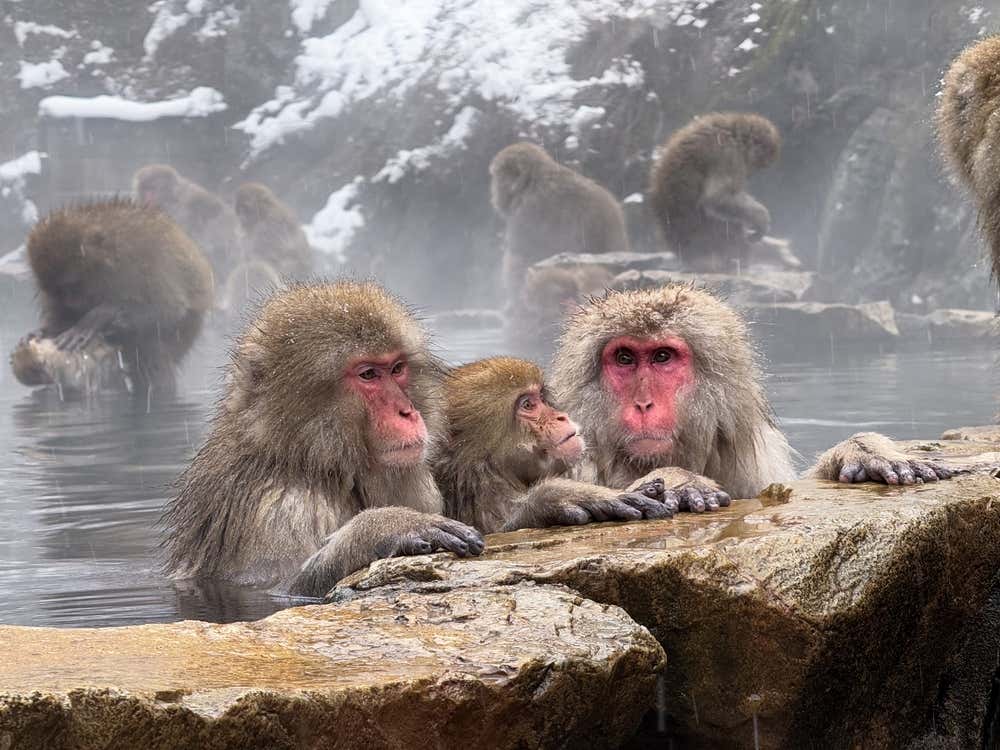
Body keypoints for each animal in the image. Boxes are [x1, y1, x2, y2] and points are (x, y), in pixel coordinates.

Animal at [20, 199, 213, 394]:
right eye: (57, 292)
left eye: (72, 286)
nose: (70, 303)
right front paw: (48, 329)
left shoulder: (145, 260)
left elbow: (169, 309)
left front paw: (99, 317)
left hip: (188, 329)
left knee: (150, 342)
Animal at [162, 281, 485, 599]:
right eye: (368, 374)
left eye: (397, 369)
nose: (407, 411)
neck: (310, 461)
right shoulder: (278, 508)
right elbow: (283, 586)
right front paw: (389, 527)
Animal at [648, 112, 802, 273]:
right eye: (758, 164)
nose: (749, 174)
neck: (734, 134)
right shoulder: (729, 155)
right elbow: (716, 198)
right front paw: (761, 218)